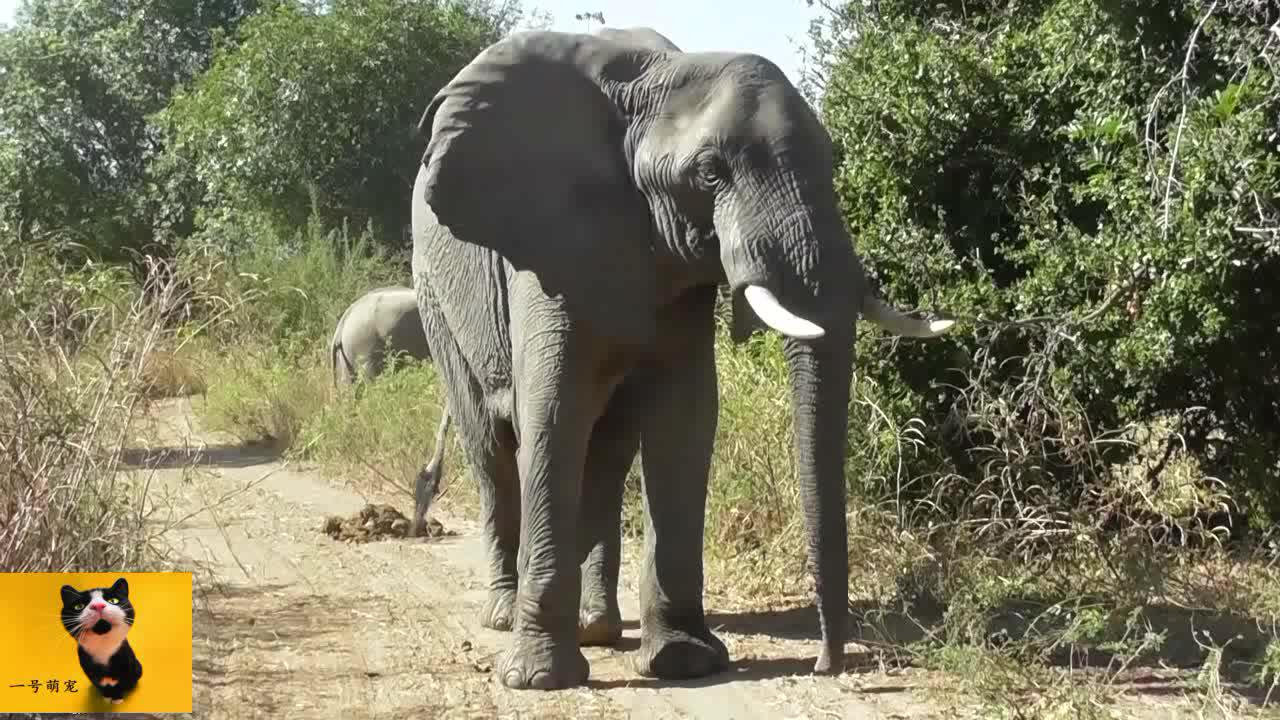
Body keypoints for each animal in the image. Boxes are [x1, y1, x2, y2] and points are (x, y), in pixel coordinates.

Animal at [409, 26, 956, 690]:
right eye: (710, 173)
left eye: (832, 161)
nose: (830, 664)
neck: (657, 76)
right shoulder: (548, 248)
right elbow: (553, 412)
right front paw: (539, 679)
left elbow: (686, 417)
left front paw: (684, 664)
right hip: (435, 298)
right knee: (491, 448)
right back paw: (505, 617)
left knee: (606, 452)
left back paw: (599, 628)